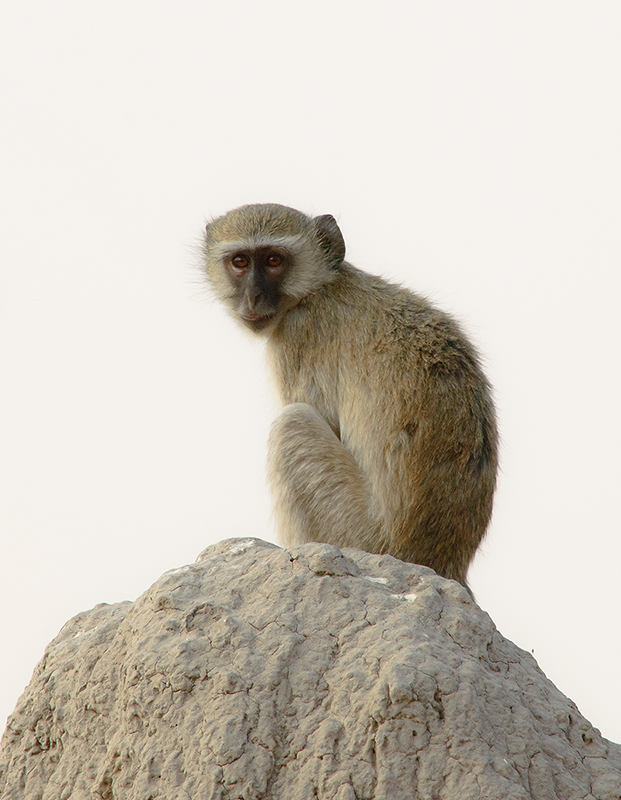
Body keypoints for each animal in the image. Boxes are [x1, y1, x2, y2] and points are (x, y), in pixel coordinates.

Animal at [203, 203, 498, 589]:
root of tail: (442, 563)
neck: (320, 288)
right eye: (240, 261)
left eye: (273, 260)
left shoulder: (298, 335)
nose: (252, 296)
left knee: (293, 422)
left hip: (358, 535)